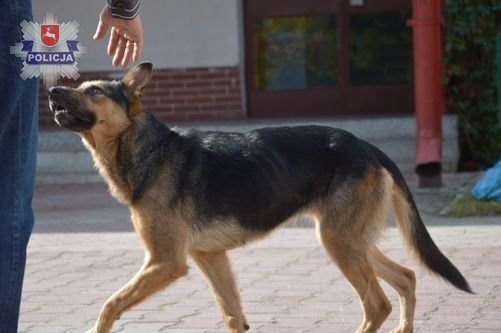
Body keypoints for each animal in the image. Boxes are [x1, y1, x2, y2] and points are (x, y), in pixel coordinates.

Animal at [47, 63, 472, 332]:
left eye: (95, 91)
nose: (51, 89)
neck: (148, 150)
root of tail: (367, 147)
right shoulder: (210, 258)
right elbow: (233, 317)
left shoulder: (165, 262)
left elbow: (109, 305)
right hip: (352, 240)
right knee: (406, 278)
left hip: (339, 242)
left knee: (377, 305)